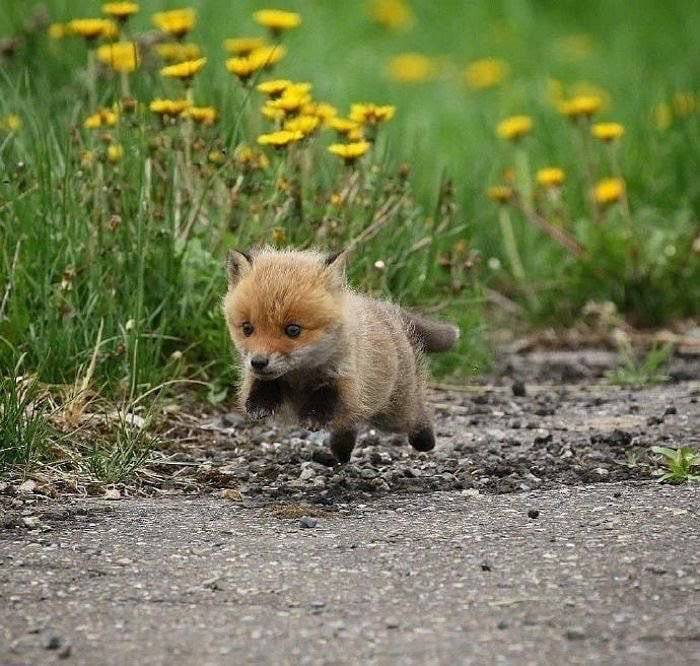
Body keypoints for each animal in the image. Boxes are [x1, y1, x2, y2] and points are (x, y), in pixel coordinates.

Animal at [223, 245, 460, 462]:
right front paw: (258, 406)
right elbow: (263, 386)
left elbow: (326, 402)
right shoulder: (262, 378)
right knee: (348, 425)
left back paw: (425, 439)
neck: (301, 376)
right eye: (247, 328)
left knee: (415, 414)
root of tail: (384, 309)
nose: (258, 362)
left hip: (392, 413)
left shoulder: (344, 380)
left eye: (293, 330)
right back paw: (341, 451)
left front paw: (312, 419)